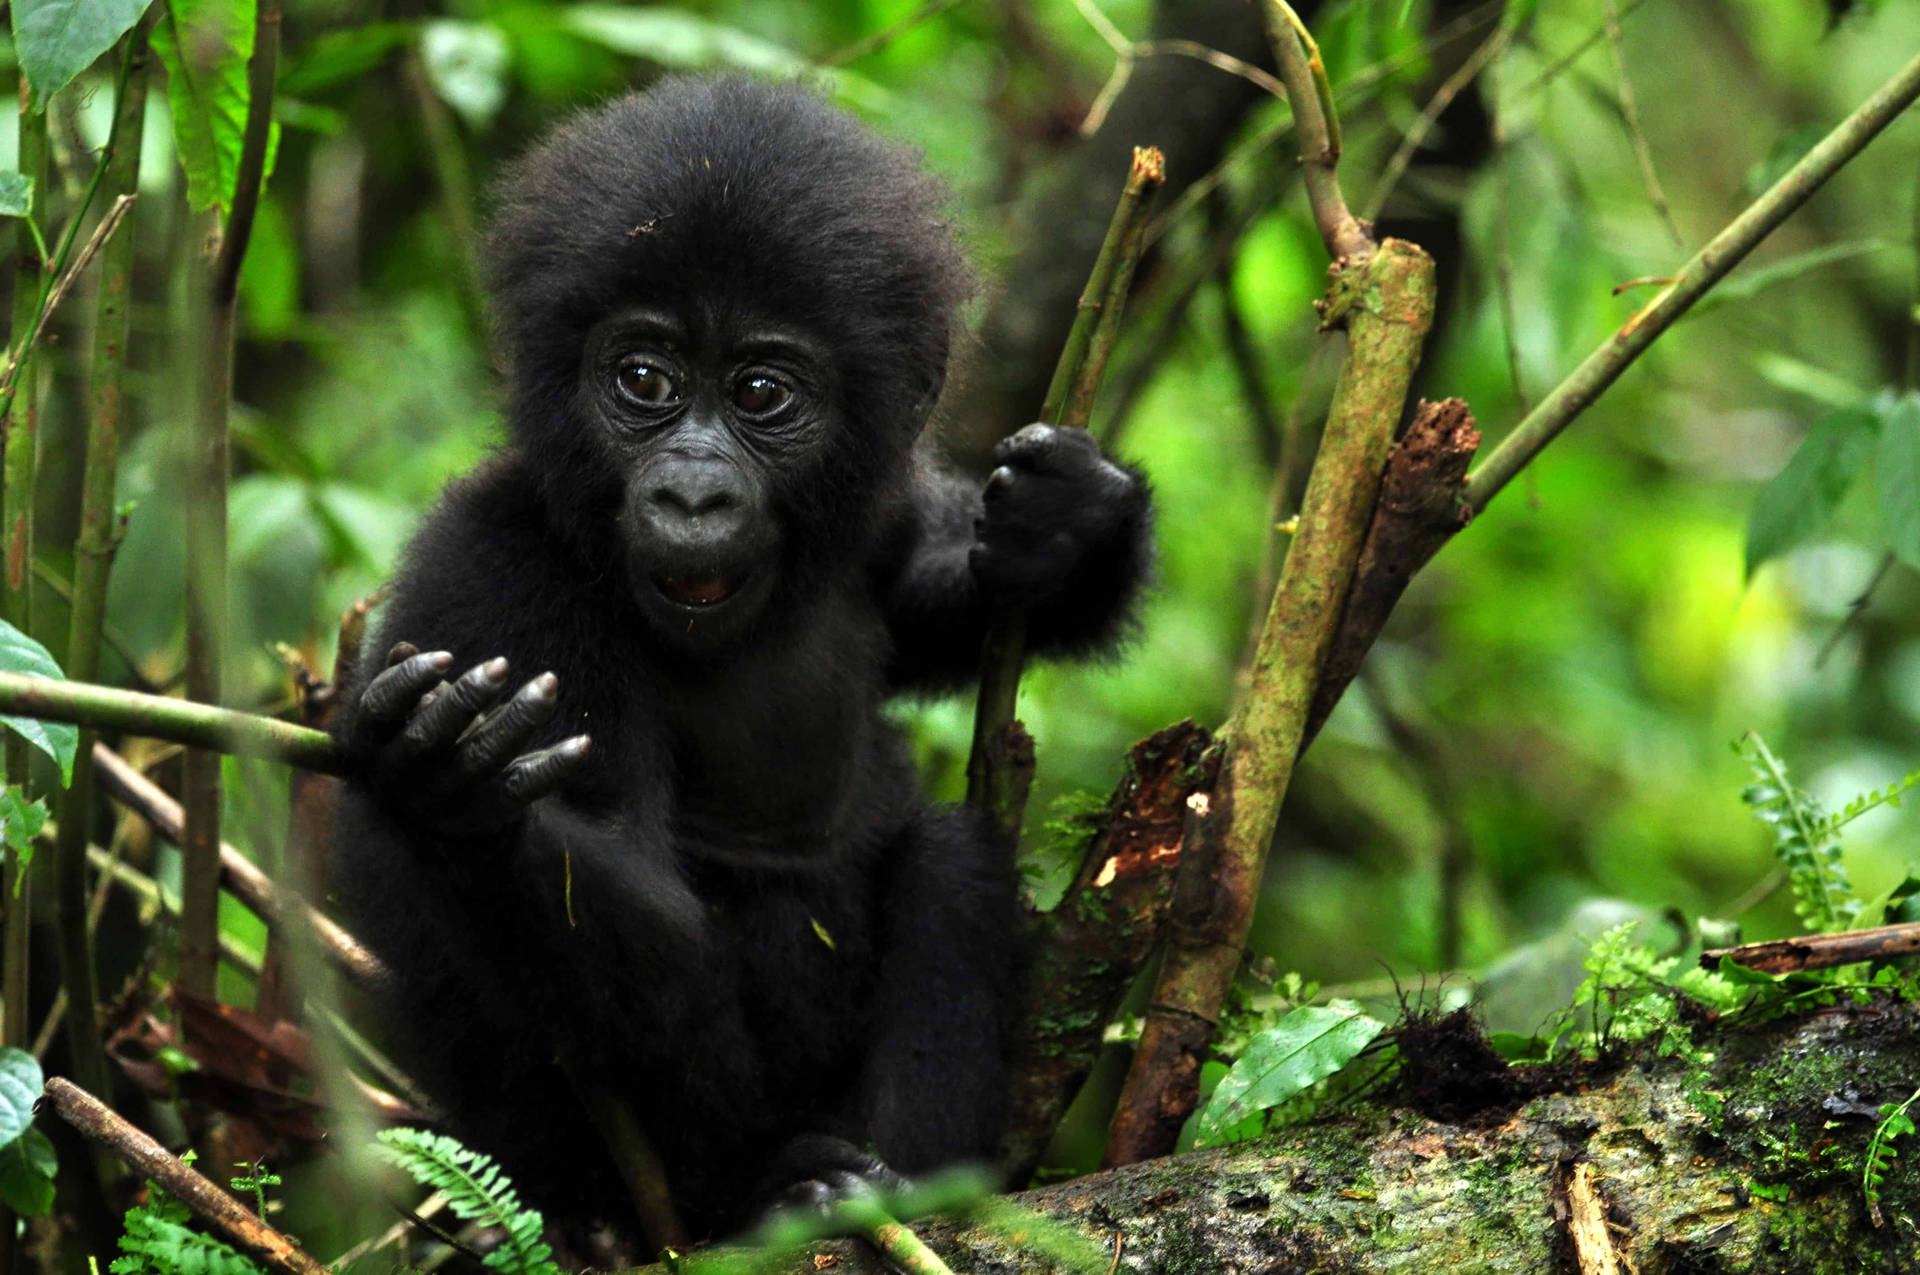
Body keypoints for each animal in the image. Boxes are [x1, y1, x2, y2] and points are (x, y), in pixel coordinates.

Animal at [330, 77, 1144, 1236]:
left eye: (761, 393)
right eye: (643, 379)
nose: (691, 494)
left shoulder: (875, 505)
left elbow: (940, 598)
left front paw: (1070, 522)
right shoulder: (490, 575)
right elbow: (634, 915)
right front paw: (454, 802)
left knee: (951, 854)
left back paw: (901, 1182)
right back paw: (779, 1191)